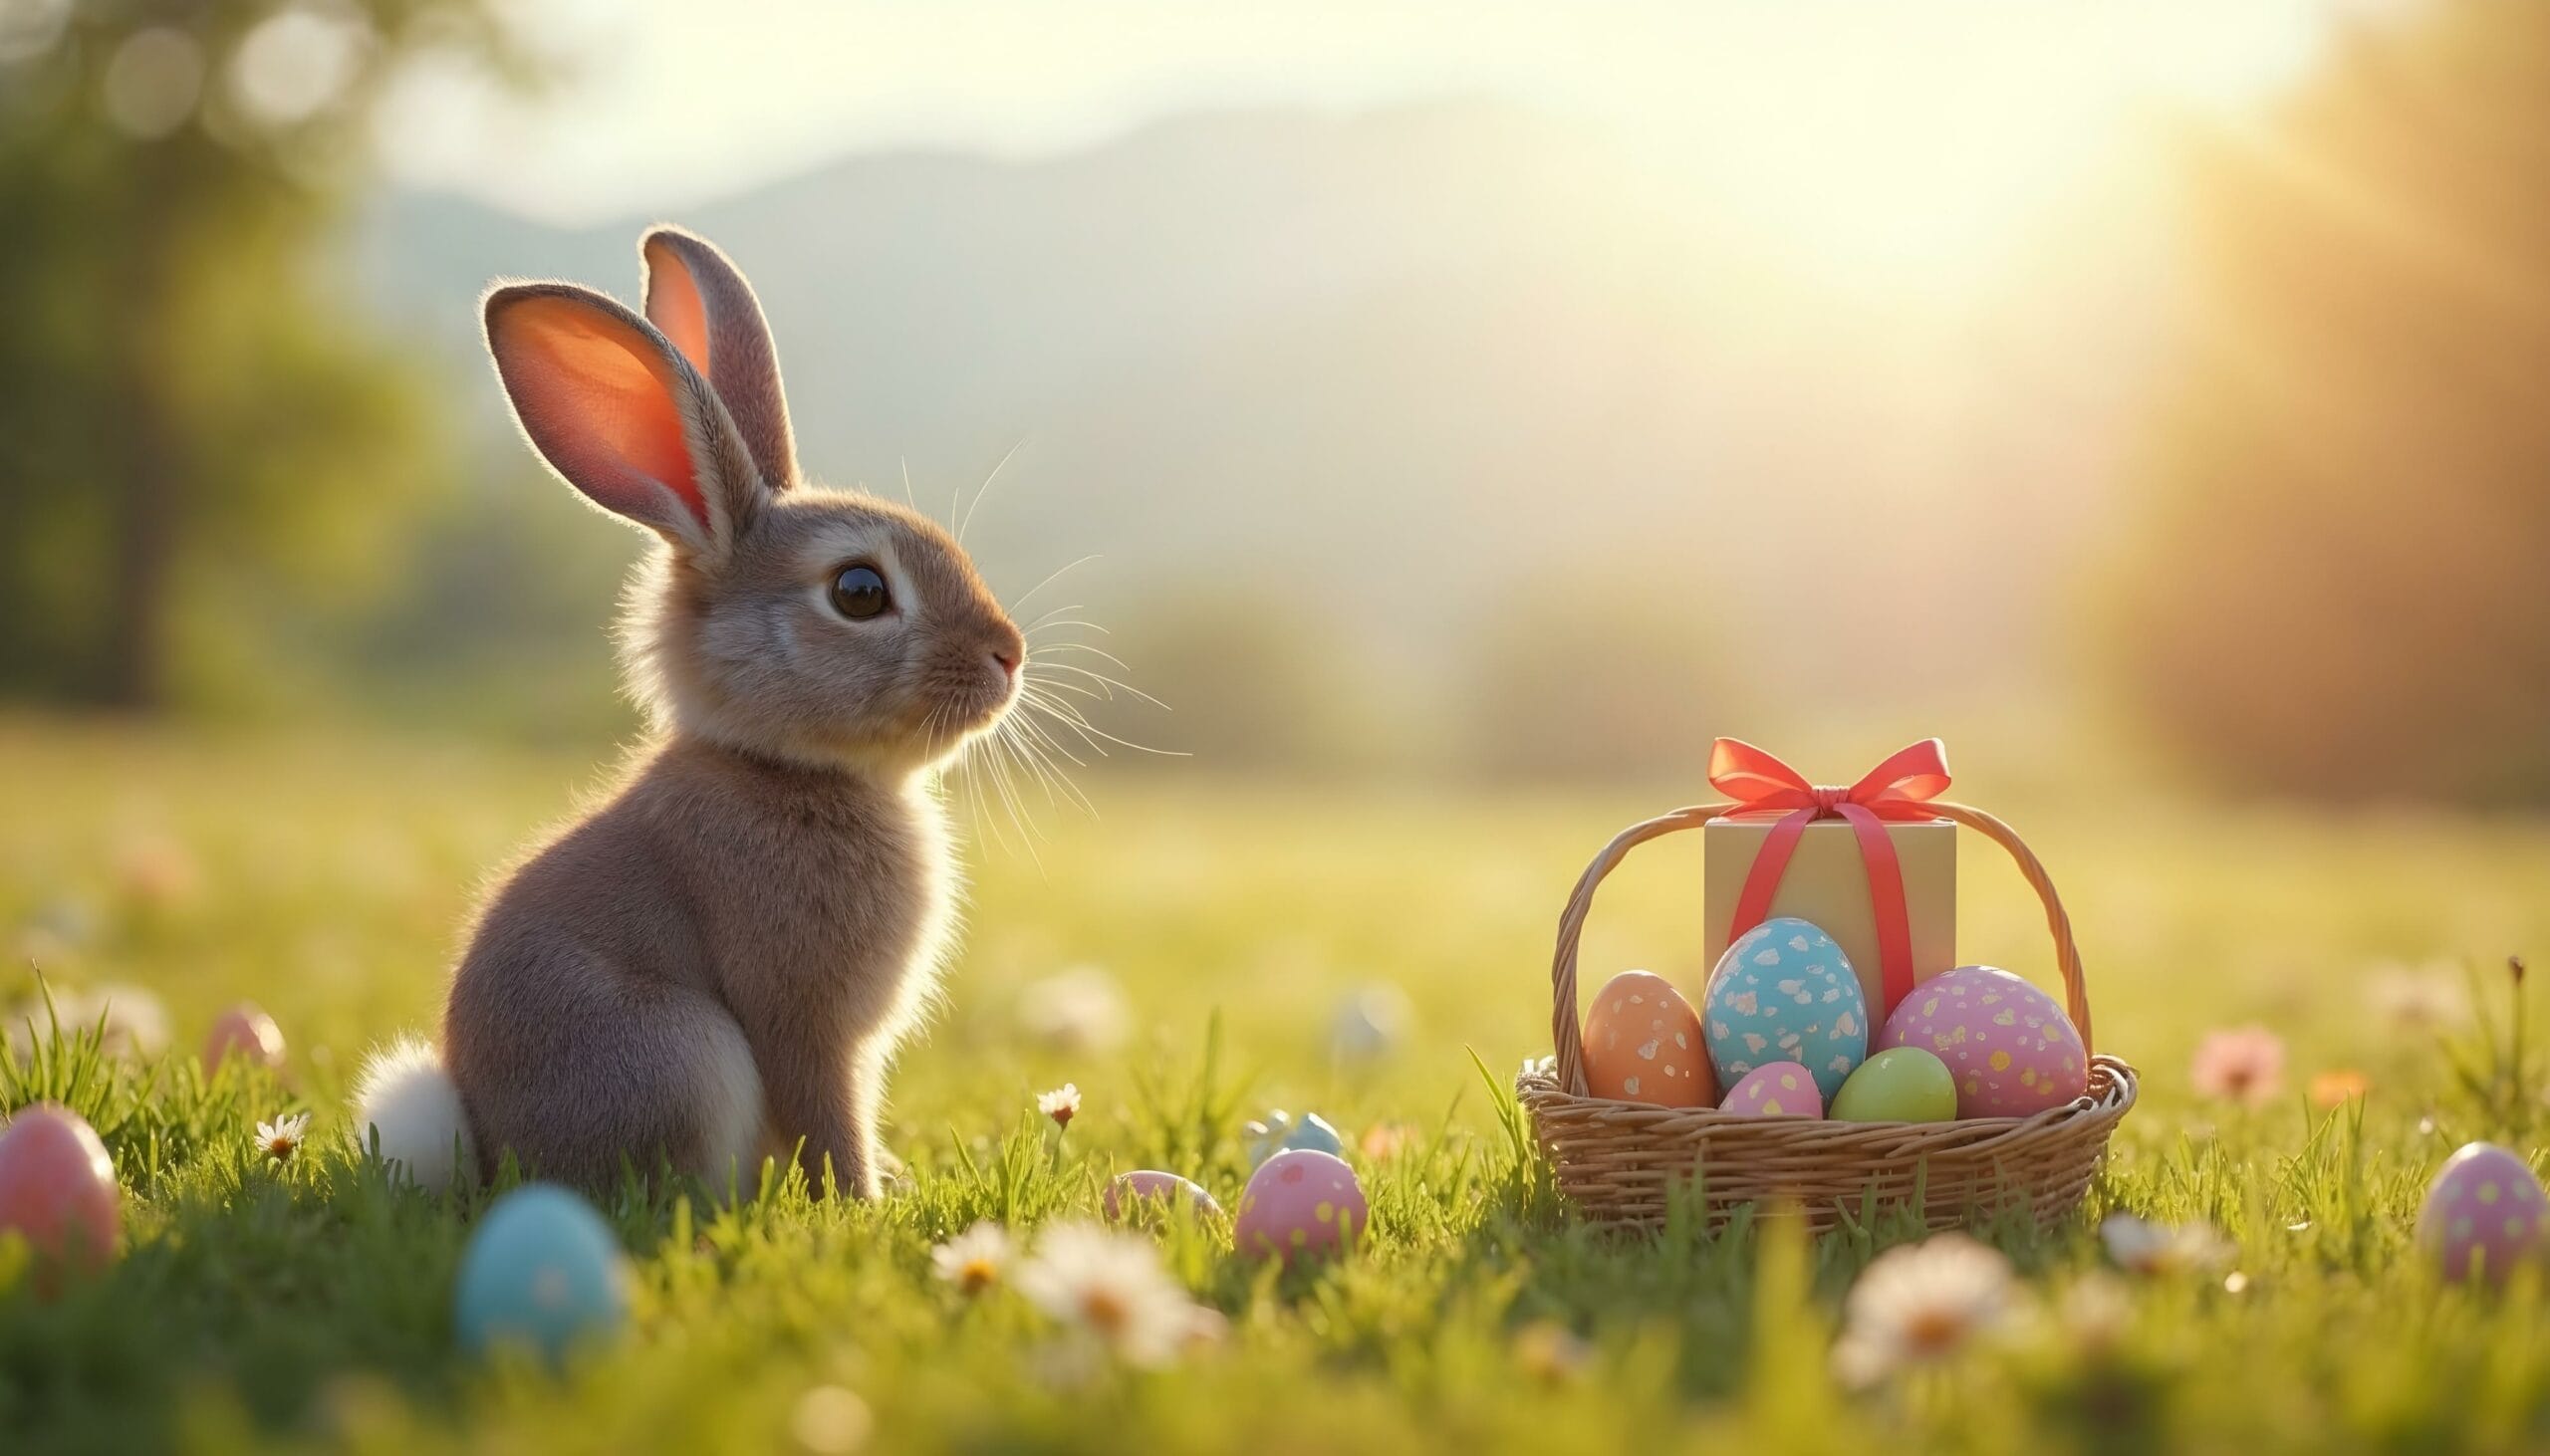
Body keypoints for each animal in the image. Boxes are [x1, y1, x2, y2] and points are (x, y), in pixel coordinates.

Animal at [350, 226, 1024, 1199]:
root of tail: (492, 1152)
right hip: (679, 1053)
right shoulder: (802, 1017)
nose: (1010, 655)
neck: (782, 765)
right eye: (859, 592)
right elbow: (827, 1114)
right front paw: (864, 1203)